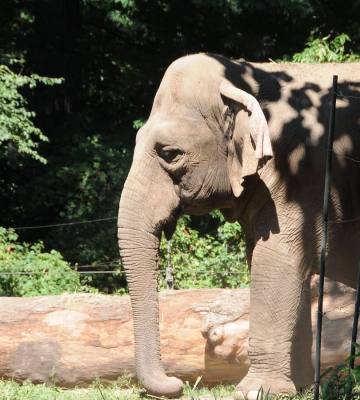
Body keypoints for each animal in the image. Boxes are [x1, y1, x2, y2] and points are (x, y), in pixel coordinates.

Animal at [118, 52, 360, 396]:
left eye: (170, 153)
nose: (177, 385)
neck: (247, 78)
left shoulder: (300, 178)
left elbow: (274, 262)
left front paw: (255, 392)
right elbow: (277, 263)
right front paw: (296, 390)